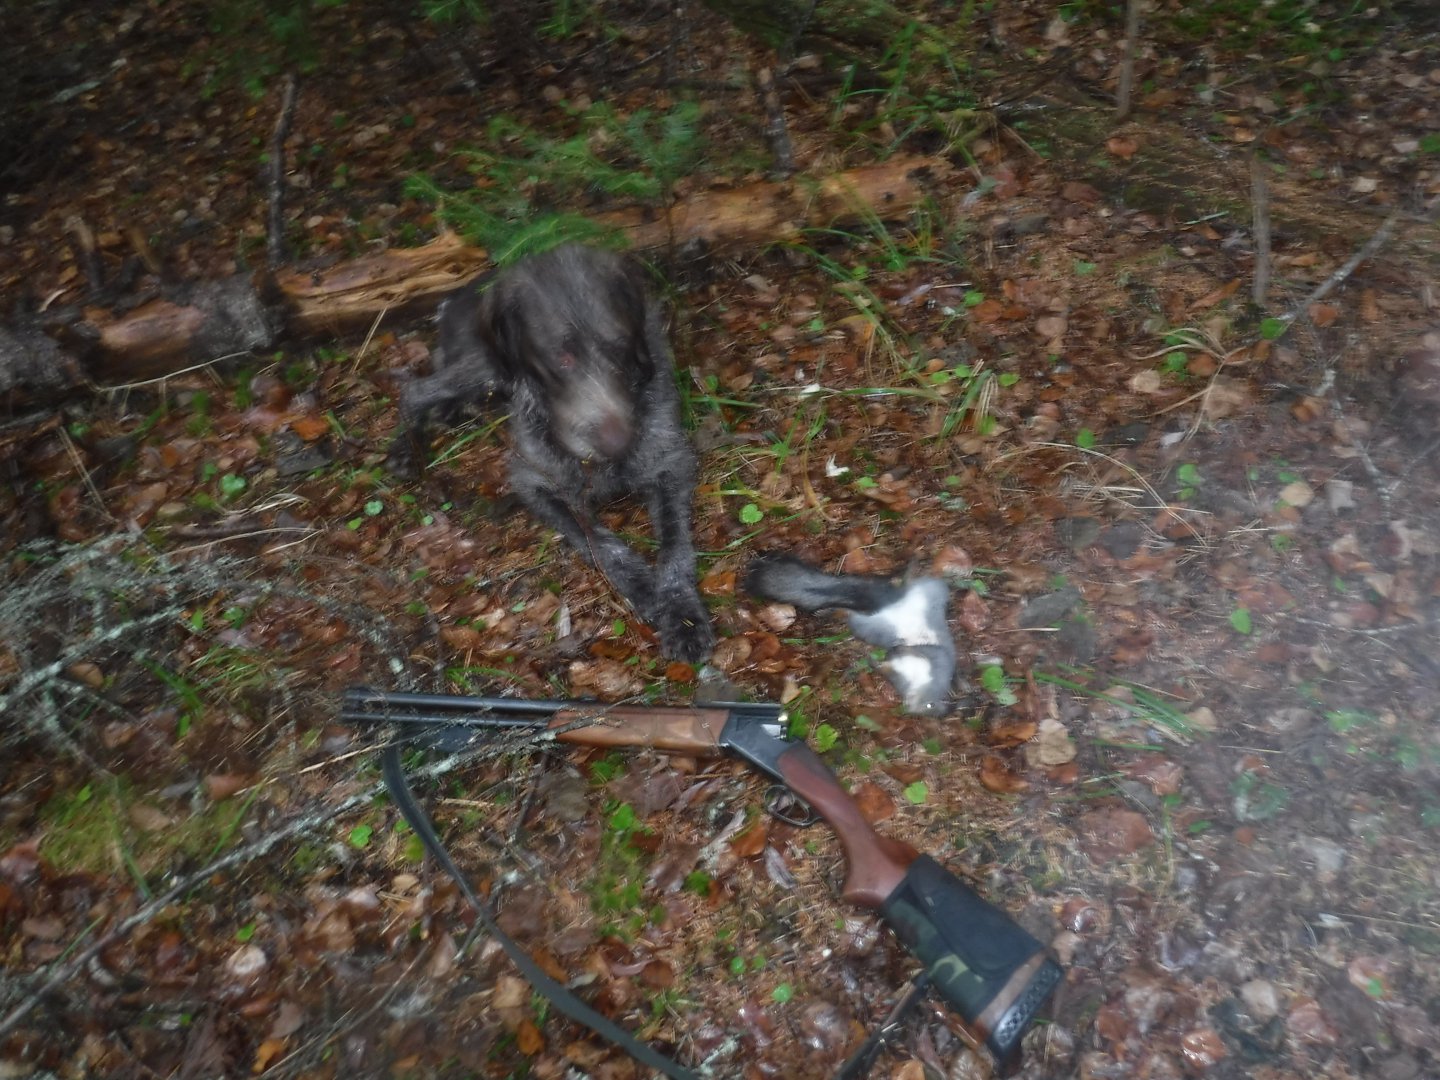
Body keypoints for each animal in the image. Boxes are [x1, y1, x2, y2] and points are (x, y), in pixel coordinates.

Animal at [389, 244, 715, 664]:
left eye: (620, 347)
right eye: (562, 359)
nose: (618, 445)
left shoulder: (672, 463)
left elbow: (675, 544)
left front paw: (680, 610)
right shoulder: (535, 484)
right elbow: (595, 540)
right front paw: (643, 588)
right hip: (488, 368)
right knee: (415, 390)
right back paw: (406, 447)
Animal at [743, 554, 958, 717]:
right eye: (929, 706)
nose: (911, 706)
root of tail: (888, 602)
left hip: (875, 625)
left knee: (853, 617)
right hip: (925, 590)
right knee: (902, 585)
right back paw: (911, 566)